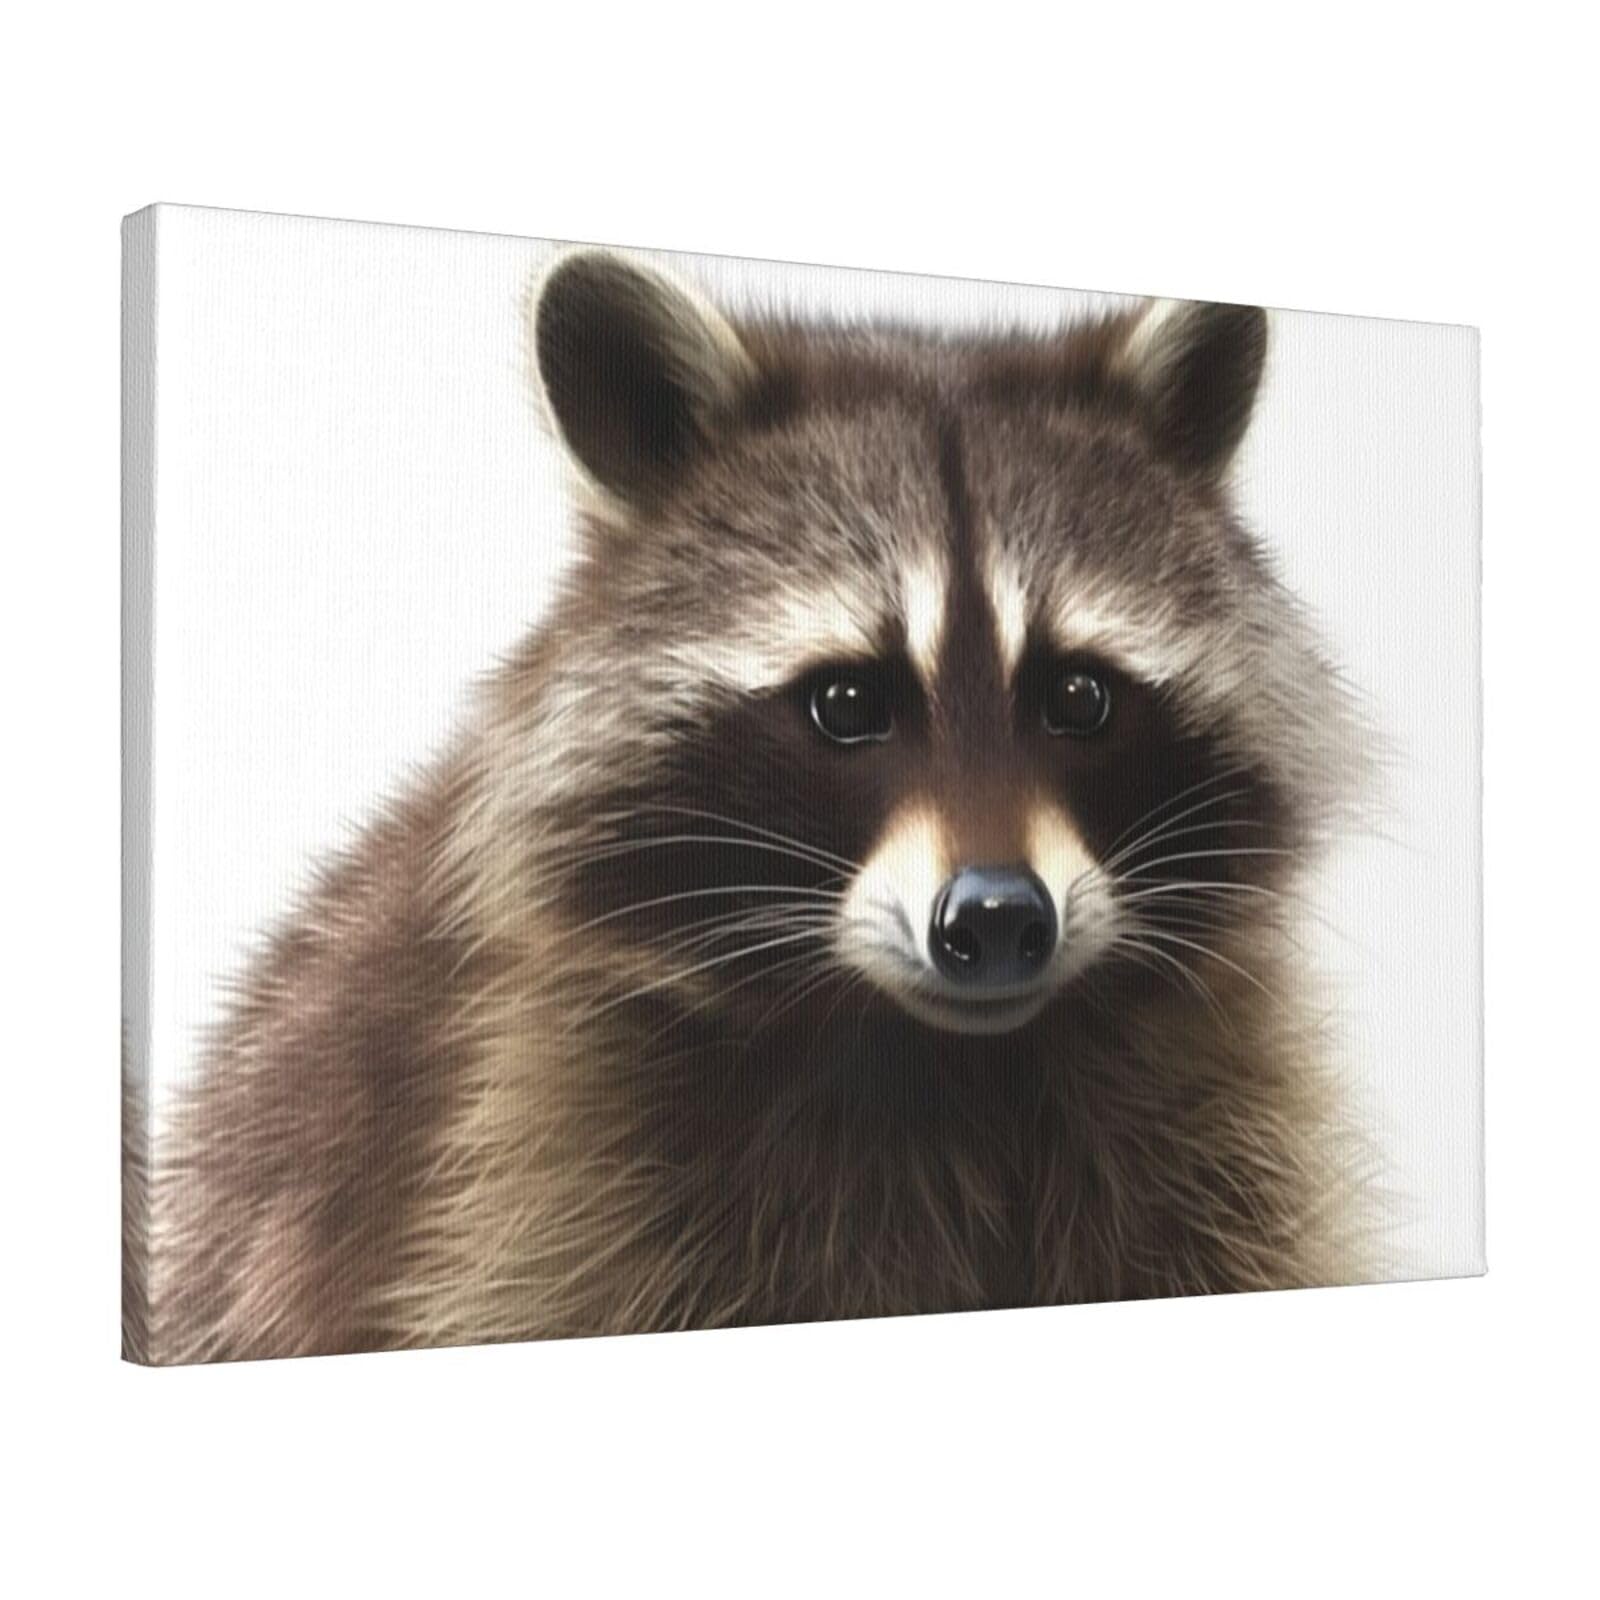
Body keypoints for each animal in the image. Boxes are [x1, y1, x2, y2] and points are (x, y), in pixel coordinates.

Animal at [134, 250, 1374, 1363]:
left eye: (1078, 694)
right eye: (846, 701)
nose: (996, 918)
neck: (950, 1062)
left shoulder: (1220, 1123)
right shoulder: (526, 1152)